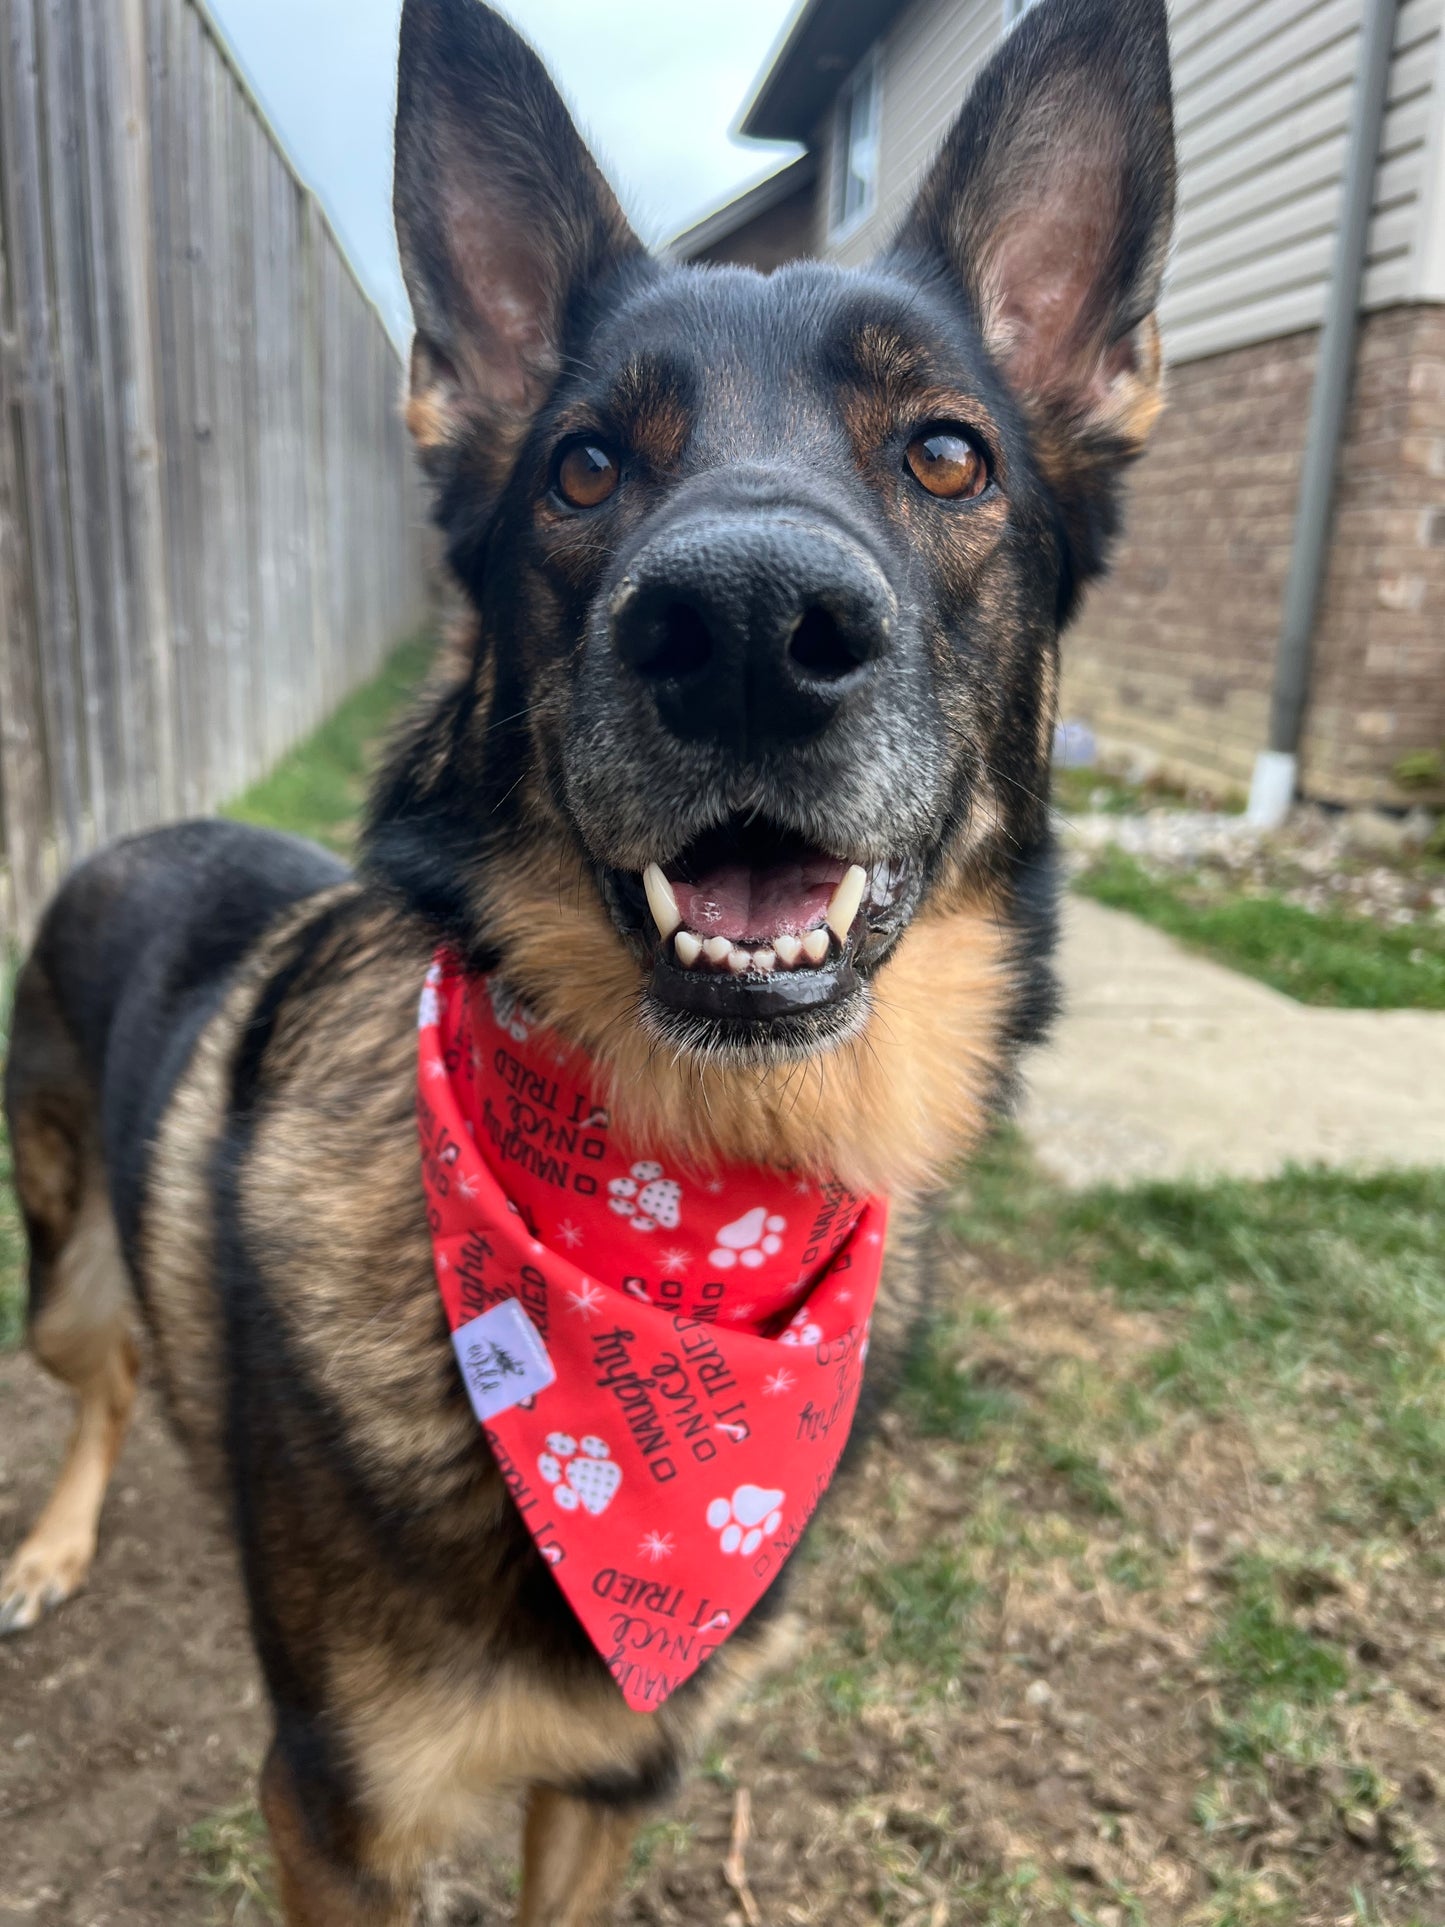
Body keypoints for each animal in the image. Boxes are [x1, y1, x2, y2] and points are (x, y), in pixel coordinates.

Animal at [0, 7, 1179, 1919]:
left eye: (947, 456)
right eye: (584, 468)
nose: (753, 631)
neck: (683, 1194)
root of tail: (138, 829)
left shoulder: (614, 1779)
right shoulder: (333, 1810)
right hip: (64, 1272)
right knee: (98, 1373)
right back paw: (57, 1533)